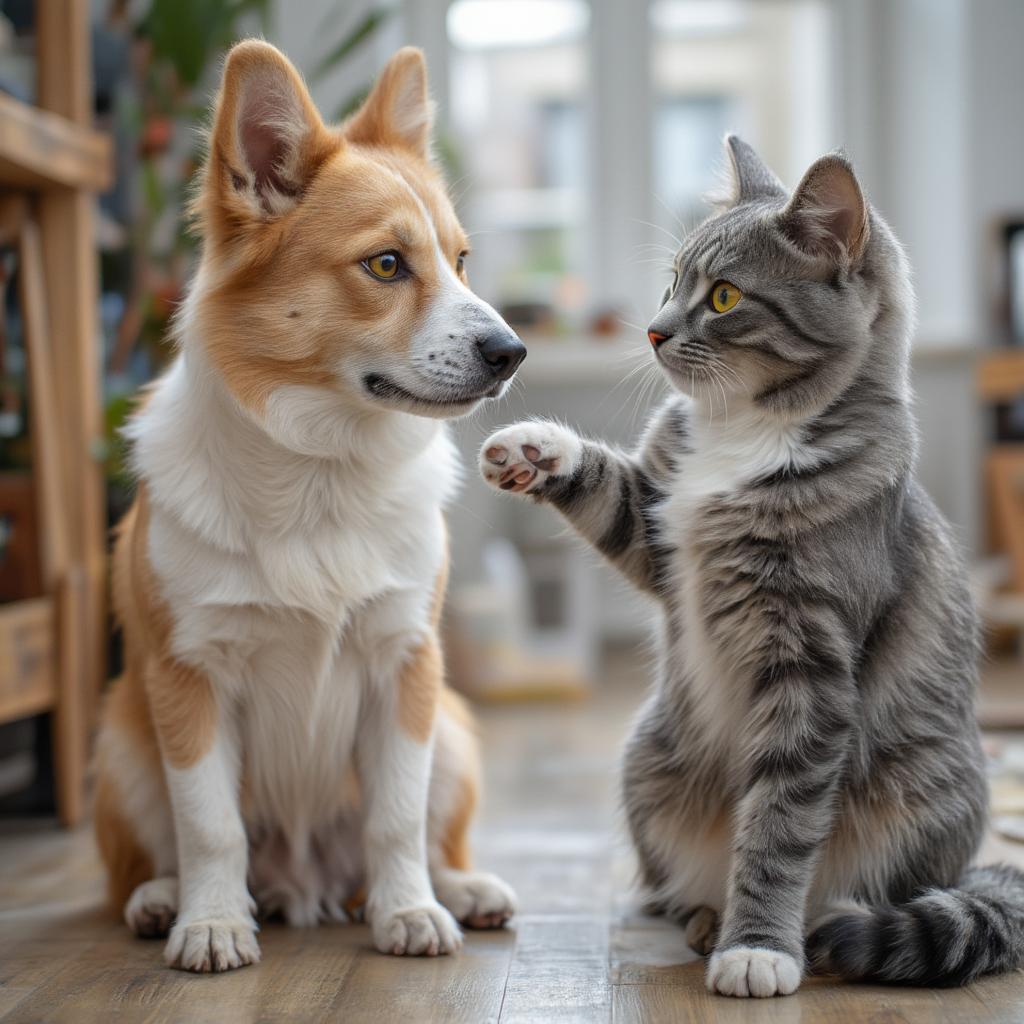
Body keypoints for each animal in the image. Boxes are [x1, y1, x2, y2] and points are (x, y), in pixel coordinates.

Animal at [93, 39, 524, 970]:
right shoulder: (190, 679)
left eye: (461, 261)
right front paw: (212, 923)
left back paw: (460, 890)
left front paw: (411, 911)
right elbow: (209, 825)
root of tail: (305, 884)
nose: (512, 352)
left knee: (423, 837)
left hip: (452, 732)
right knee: (150, 860)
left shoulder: (404, 668)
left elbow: (395, 818)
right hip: (124, 747)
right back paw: (162, 900)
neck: (322, 474)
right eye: (387, 264)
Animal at [477, 138, 1024, 999]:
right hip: (649, 761)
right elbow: (614, 496)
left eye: (726, 296)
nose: (653, 331)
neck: (746, 431)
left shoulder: (810, 663)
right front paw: (537, 448)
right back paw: (702, 917)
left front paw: (757, 946)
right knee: (680, 886)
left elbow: (777, 827)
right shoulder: (660, 533)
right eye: (672, 281)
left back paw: (794, 931)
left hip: (922, 793)